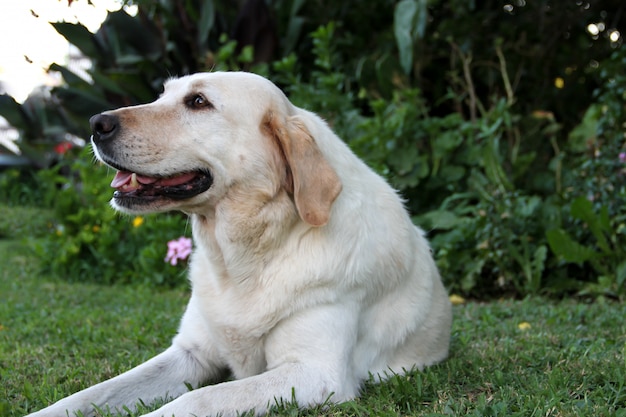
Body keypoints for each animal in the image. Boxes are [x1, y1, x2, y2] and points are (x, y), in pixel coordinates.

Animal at [26, 71, 450, 416]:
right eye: (162, 95)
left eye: (198, 102)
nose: (96, 123)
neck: (245, 255)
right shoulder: (190, 354)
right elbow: (89, 394)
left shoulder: (316, 372)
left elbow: (199, 398)